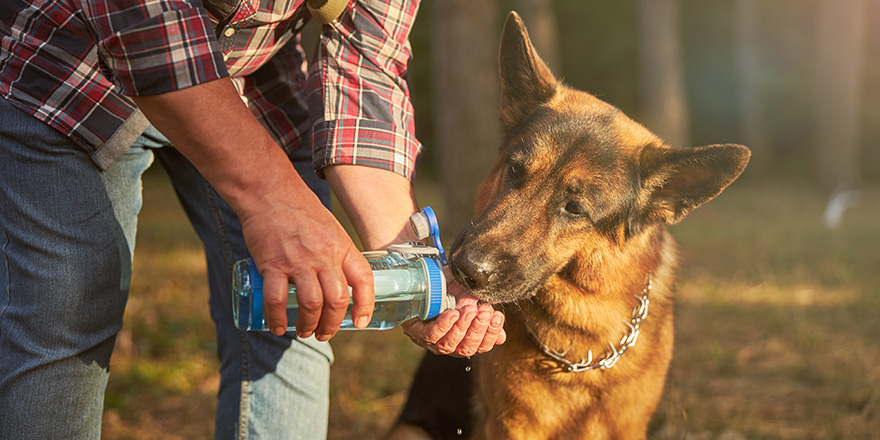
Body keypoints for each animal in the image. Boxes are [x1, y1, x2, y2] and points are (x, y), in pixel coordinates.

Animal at [392, 11, 748, 440]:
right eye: (515, 169)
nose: (465, 268)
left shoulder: (629, 427)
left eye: (574, 208)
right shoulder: (512, 426)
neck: (586, 341)